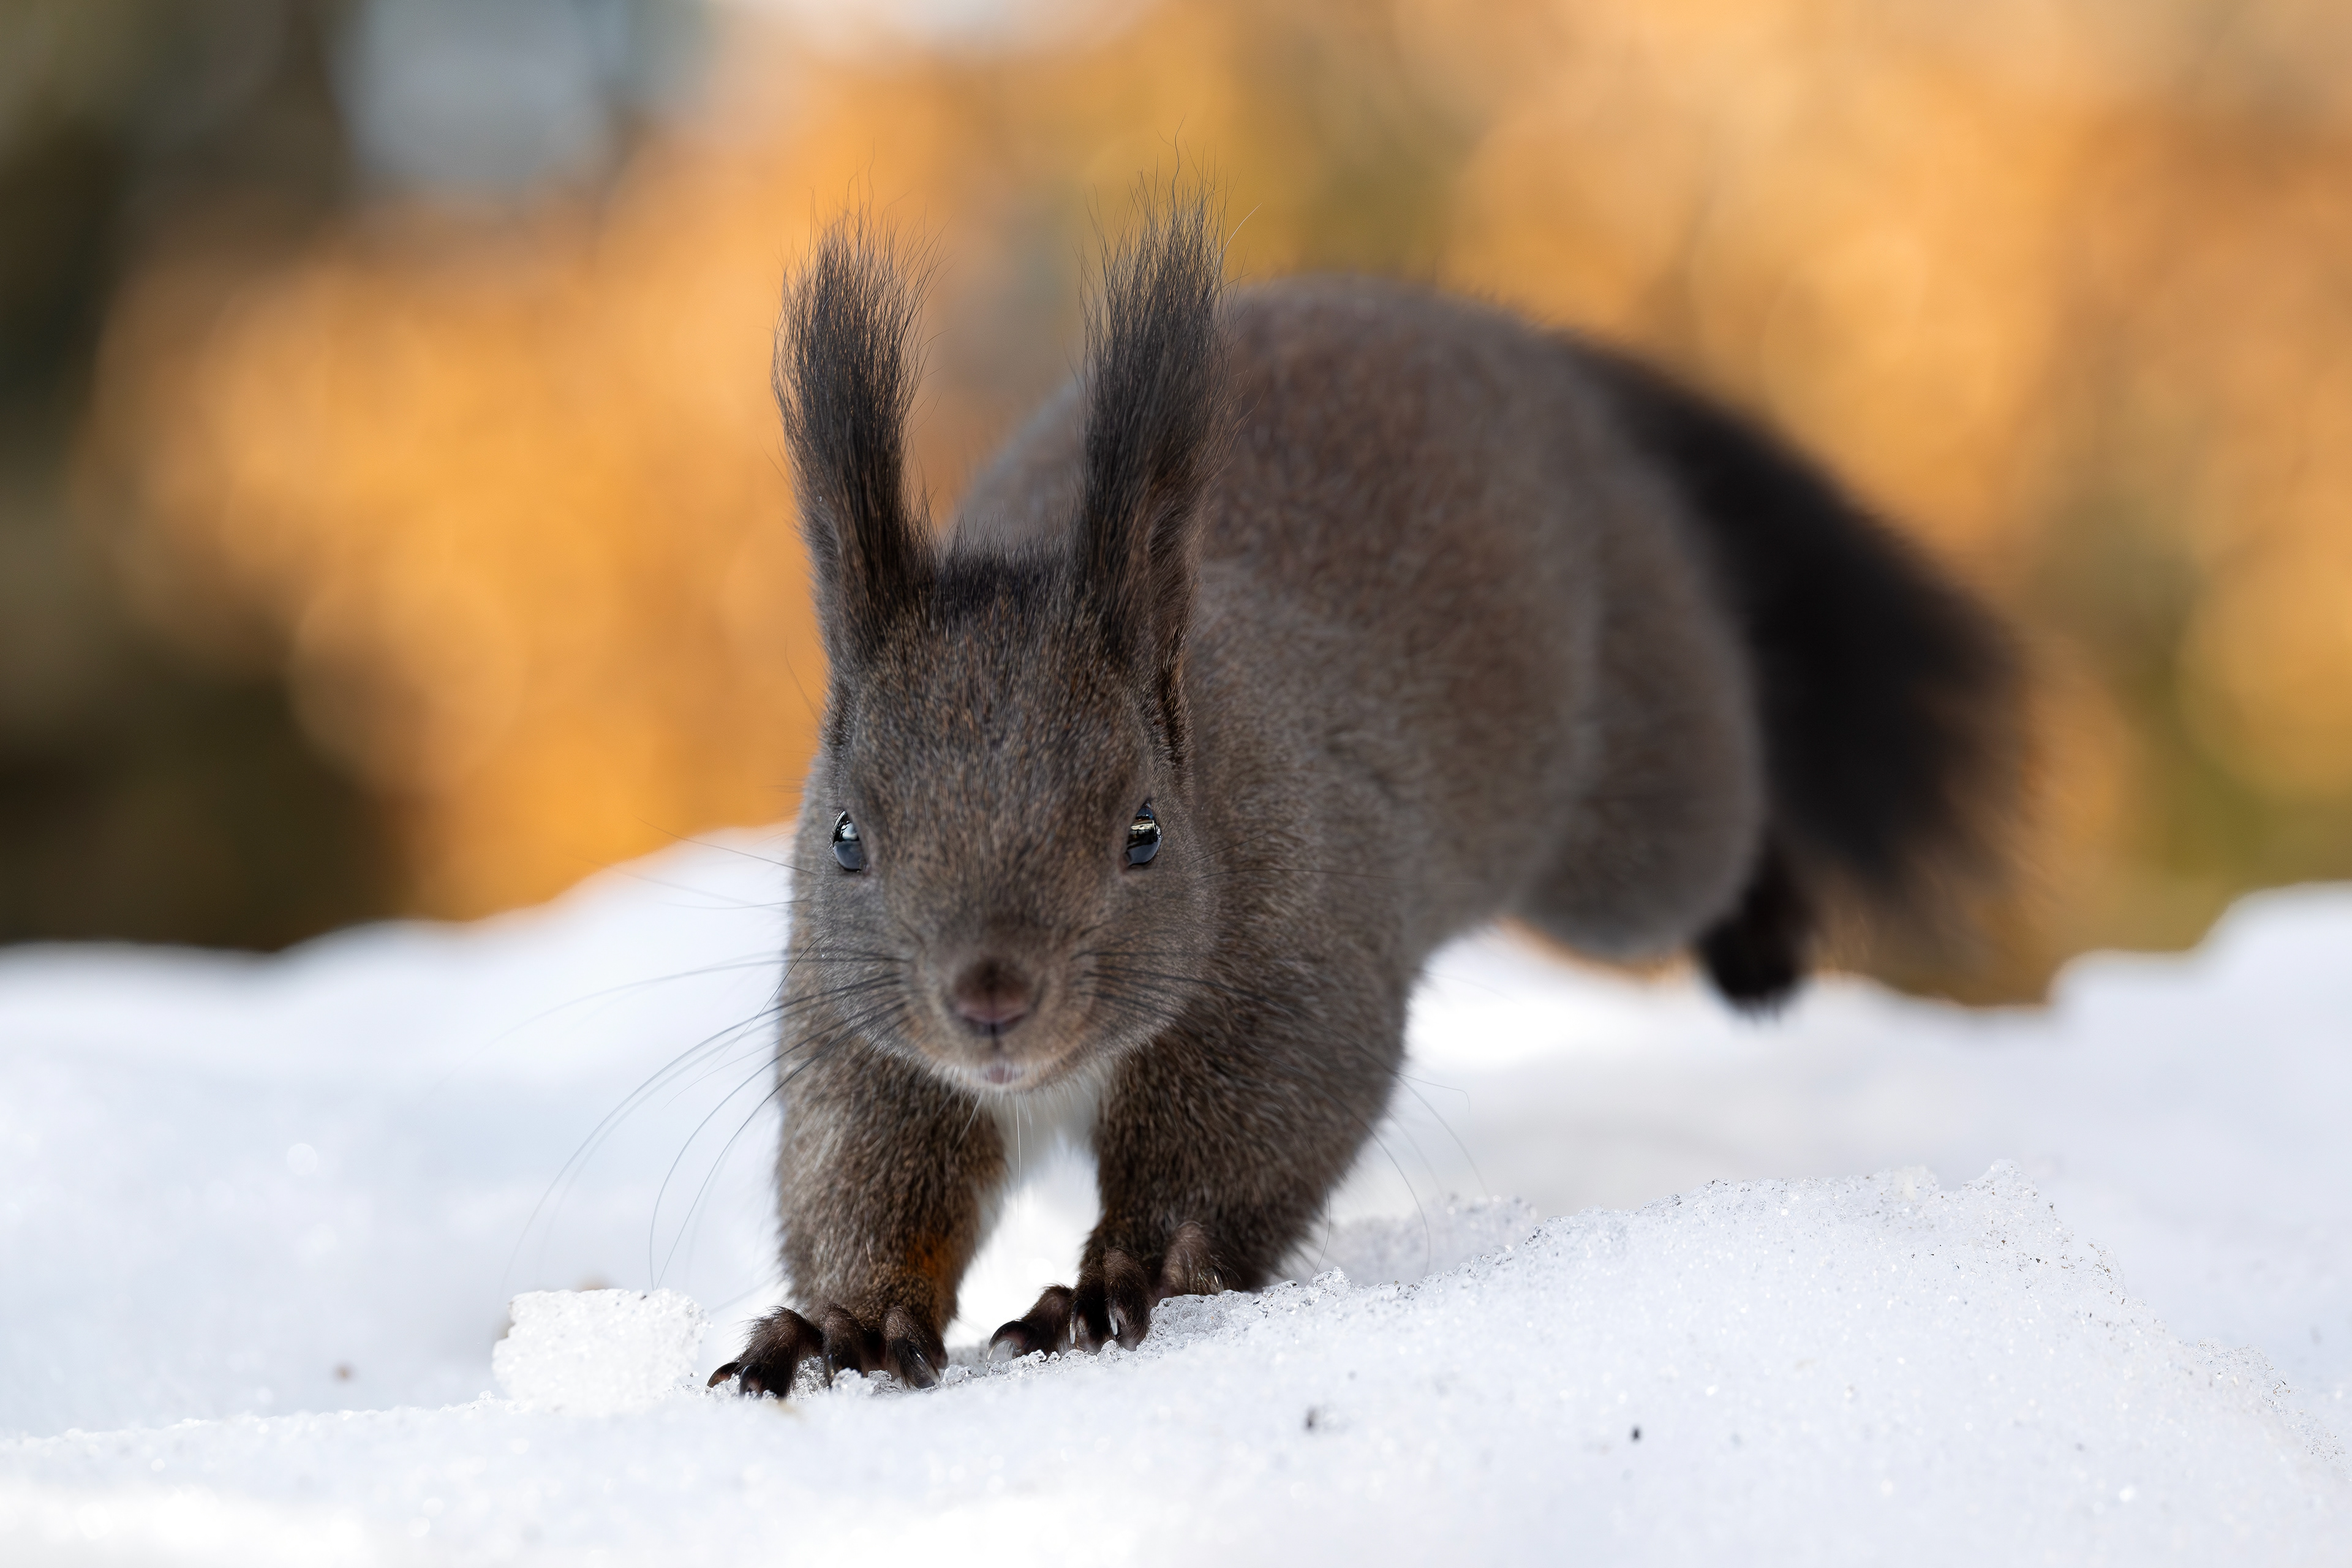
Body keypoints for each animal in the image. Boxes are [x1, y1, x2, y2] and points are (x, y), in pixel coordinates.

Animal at [708, 196, 2017, 1394]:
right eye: (846, 836)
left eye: (1143, 833)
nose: (990, 1000)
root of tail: (1539, 358)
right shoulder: (858, 1024)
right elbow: (863, 1166)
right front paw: (846, 1320)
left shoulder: (1297, 969)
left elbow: (1247, 1147)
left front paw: (1119, 1281)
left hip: (1638, 809)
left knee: (1714, 834)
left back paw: (1765, 936)